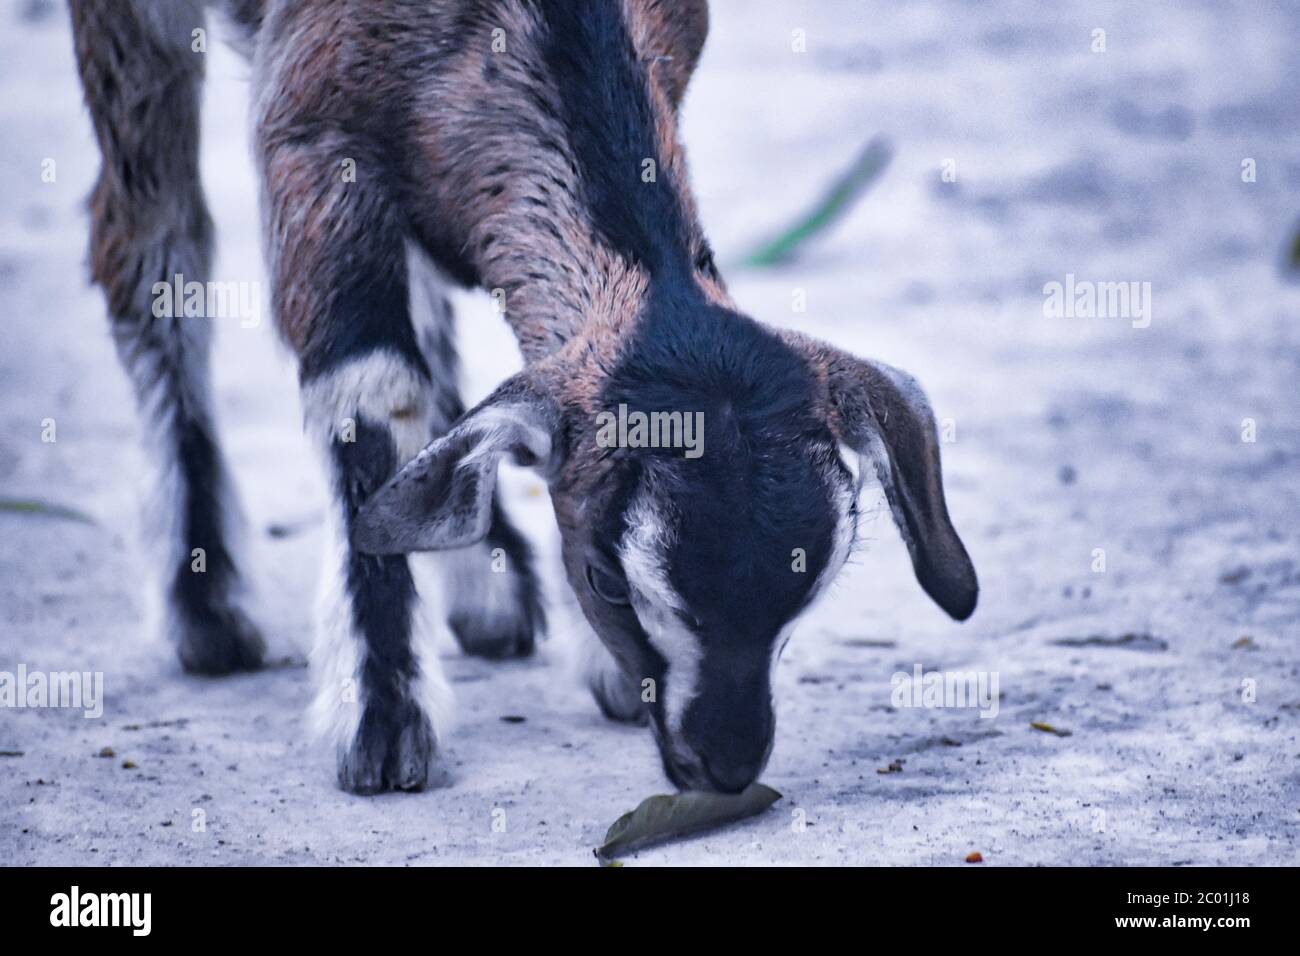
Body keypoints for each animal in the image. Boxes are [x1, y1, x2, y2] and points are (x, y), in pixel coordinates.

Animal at [69, 0, 978, 795]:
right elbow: (366, 391)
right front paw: (383, 719)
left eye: (813, 584)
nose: (724, 765)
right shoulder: (309, 132)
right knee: (153, 243)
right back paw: (207, 606)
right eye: (609, 580)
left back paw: (486, 587)